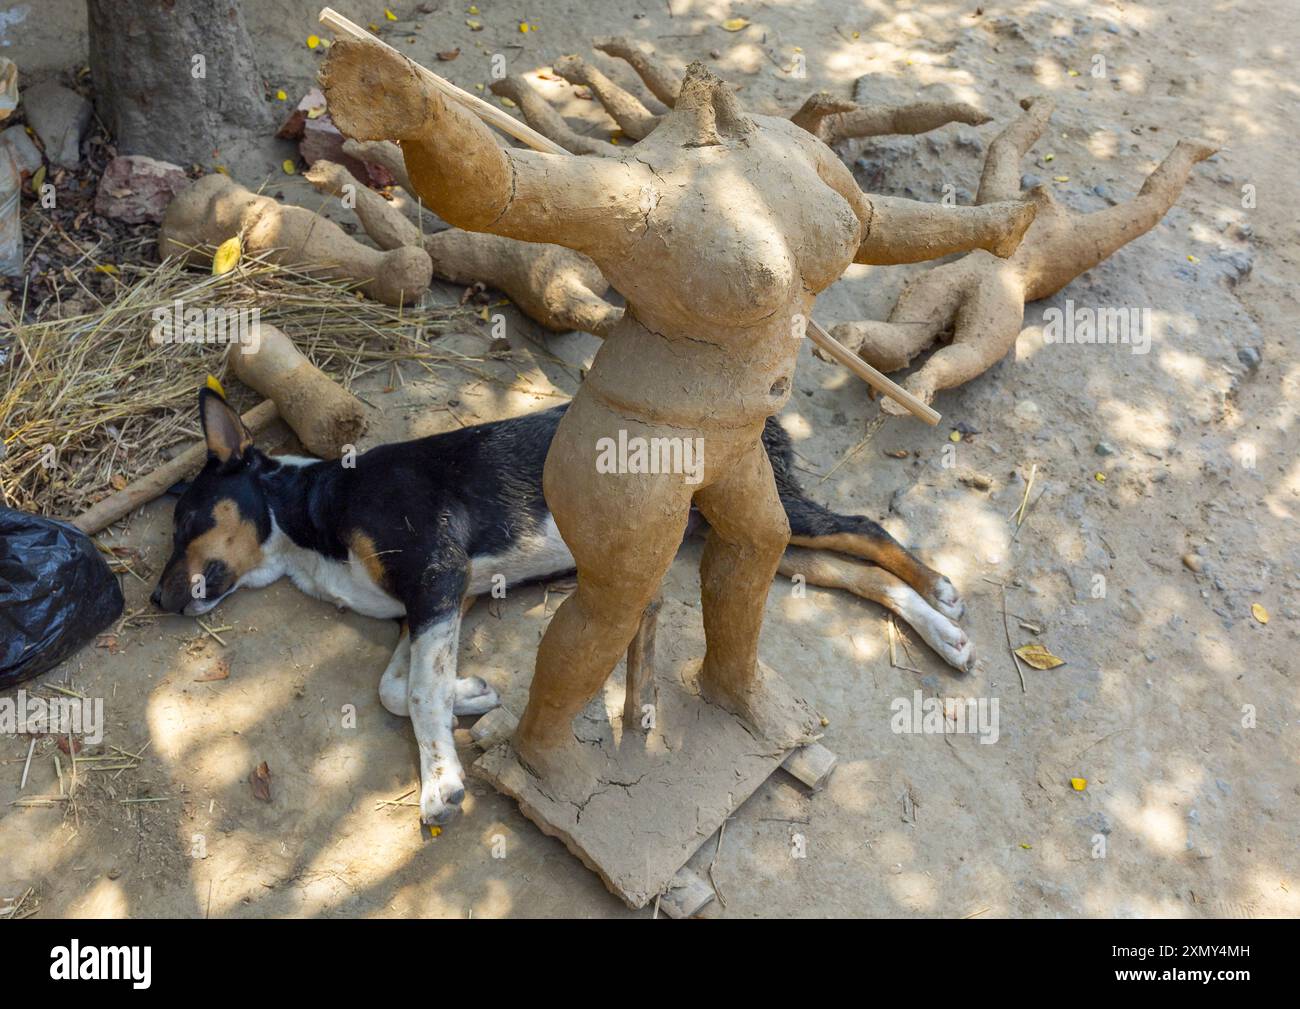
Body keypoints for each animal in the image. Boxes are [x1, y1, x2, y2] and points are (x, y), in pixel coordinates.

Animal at [152, 390, 972, 821]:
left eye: (187, 519)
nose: (156, 599)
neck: (314, 510)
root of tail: (756, 419)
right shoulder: (430, 603)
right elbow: (395, 686)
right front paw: (473, 692)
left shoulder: (437, 576)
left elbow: (413, 694)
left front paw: (441, 780)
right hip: (748, 537)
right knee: (852, 574)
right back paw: (943, 633)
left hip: (776, 516)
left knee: (865, 530)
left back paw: (941, 587)